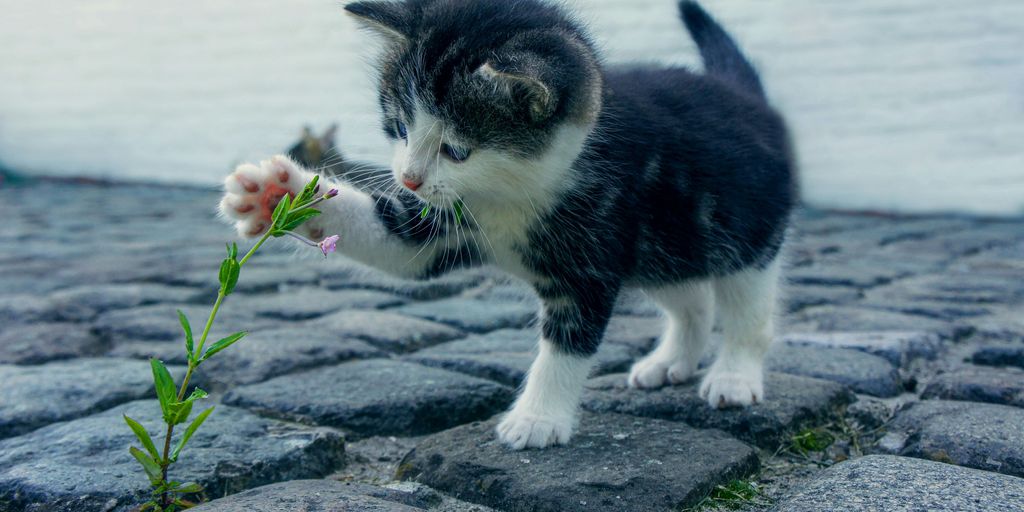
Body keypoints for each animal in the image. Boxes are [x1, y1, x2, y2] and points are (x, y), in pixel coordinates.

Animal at [222, 0, 798, 448]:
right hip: (664, 244)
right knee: (692, 298)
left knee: (747, 308)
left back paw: (733, 375)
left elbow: (567, 344)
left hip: (744, 233)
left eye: (456, 149)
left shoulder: (591, 258)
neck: (512, 192)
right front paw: (276, 194)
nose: (408, 178)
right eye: (400, 127)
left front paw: (537, 419)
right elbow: (398, 245)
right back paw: (671, 360)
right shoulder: (444, 221)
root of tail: (747, 98)